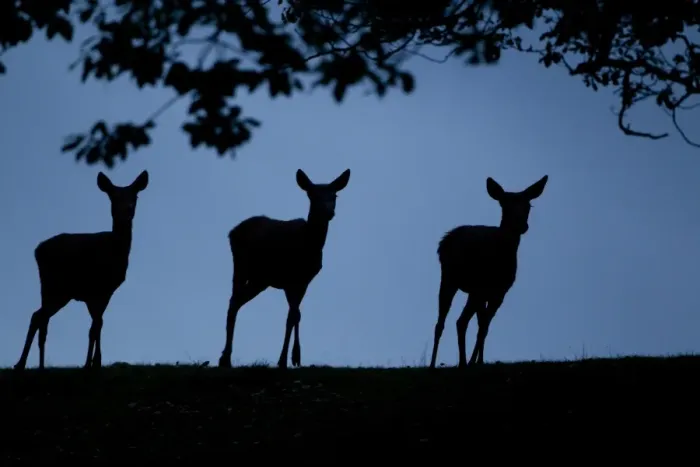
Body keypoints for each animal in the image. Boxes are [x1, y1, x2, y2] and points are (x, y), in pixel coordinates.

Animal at [14, 170, 150, 371]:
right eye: (112, 196)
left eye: (135, 196)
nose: (126, 211)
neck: (115, 251)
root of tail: (37, 250)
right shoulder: (96, 290)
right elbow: (95, 327)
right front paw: (90, 364)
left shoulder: (103, 292)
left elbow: (97, 325)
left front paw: (95, 362)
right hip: (56, 286)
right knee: (39, 317)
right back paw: (22, 363)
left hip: (55, 291)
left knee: (40, 317)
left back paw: (36, 366)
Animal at [218, 168, 351, 370]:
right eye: (311, 195)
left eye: (334, 195)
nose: (329, 212)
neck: (308, 245)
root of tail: (232, 232)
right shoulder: (290, 281)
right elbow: (292, 316)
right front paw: (283, 360)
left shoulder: (303, 282)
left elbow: (296, 315)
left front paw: (295, 357)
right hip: (241, 266)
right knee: (234, 301)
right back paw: (225, 358)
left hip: (259, 279)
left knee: (237, 301)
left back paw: (225, 357)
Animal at [429, 174, 548, 369]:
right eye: (504, 205)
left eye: (528, 206)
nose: (522, 226)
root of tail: (446, 242)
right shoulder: (491, 291)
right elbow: (483, 326)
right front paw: (474, 361)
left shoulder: (497, 291)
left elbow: (483, 326)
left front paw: (479, 361)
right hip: (460, 281)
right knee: (457, 321)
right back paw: (456, 362)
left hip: (455, 281)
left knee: (448, 322)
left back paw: (446, 363)